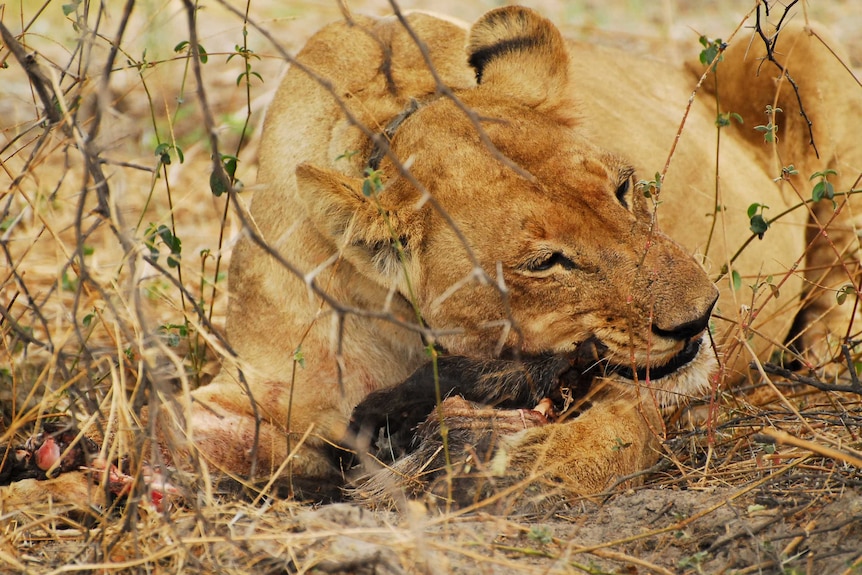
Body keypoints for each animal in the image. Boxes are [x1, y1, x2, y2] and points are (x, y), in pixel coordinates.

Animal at [6, 4, 862, 508]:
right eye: (546, 262)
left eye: (626, 188)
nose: (703, 312)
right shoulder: (269, 391)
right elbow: (174, 428)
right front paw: (56, 478)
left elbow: (618, 427)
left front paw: (535, 466)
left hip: (793, 46)